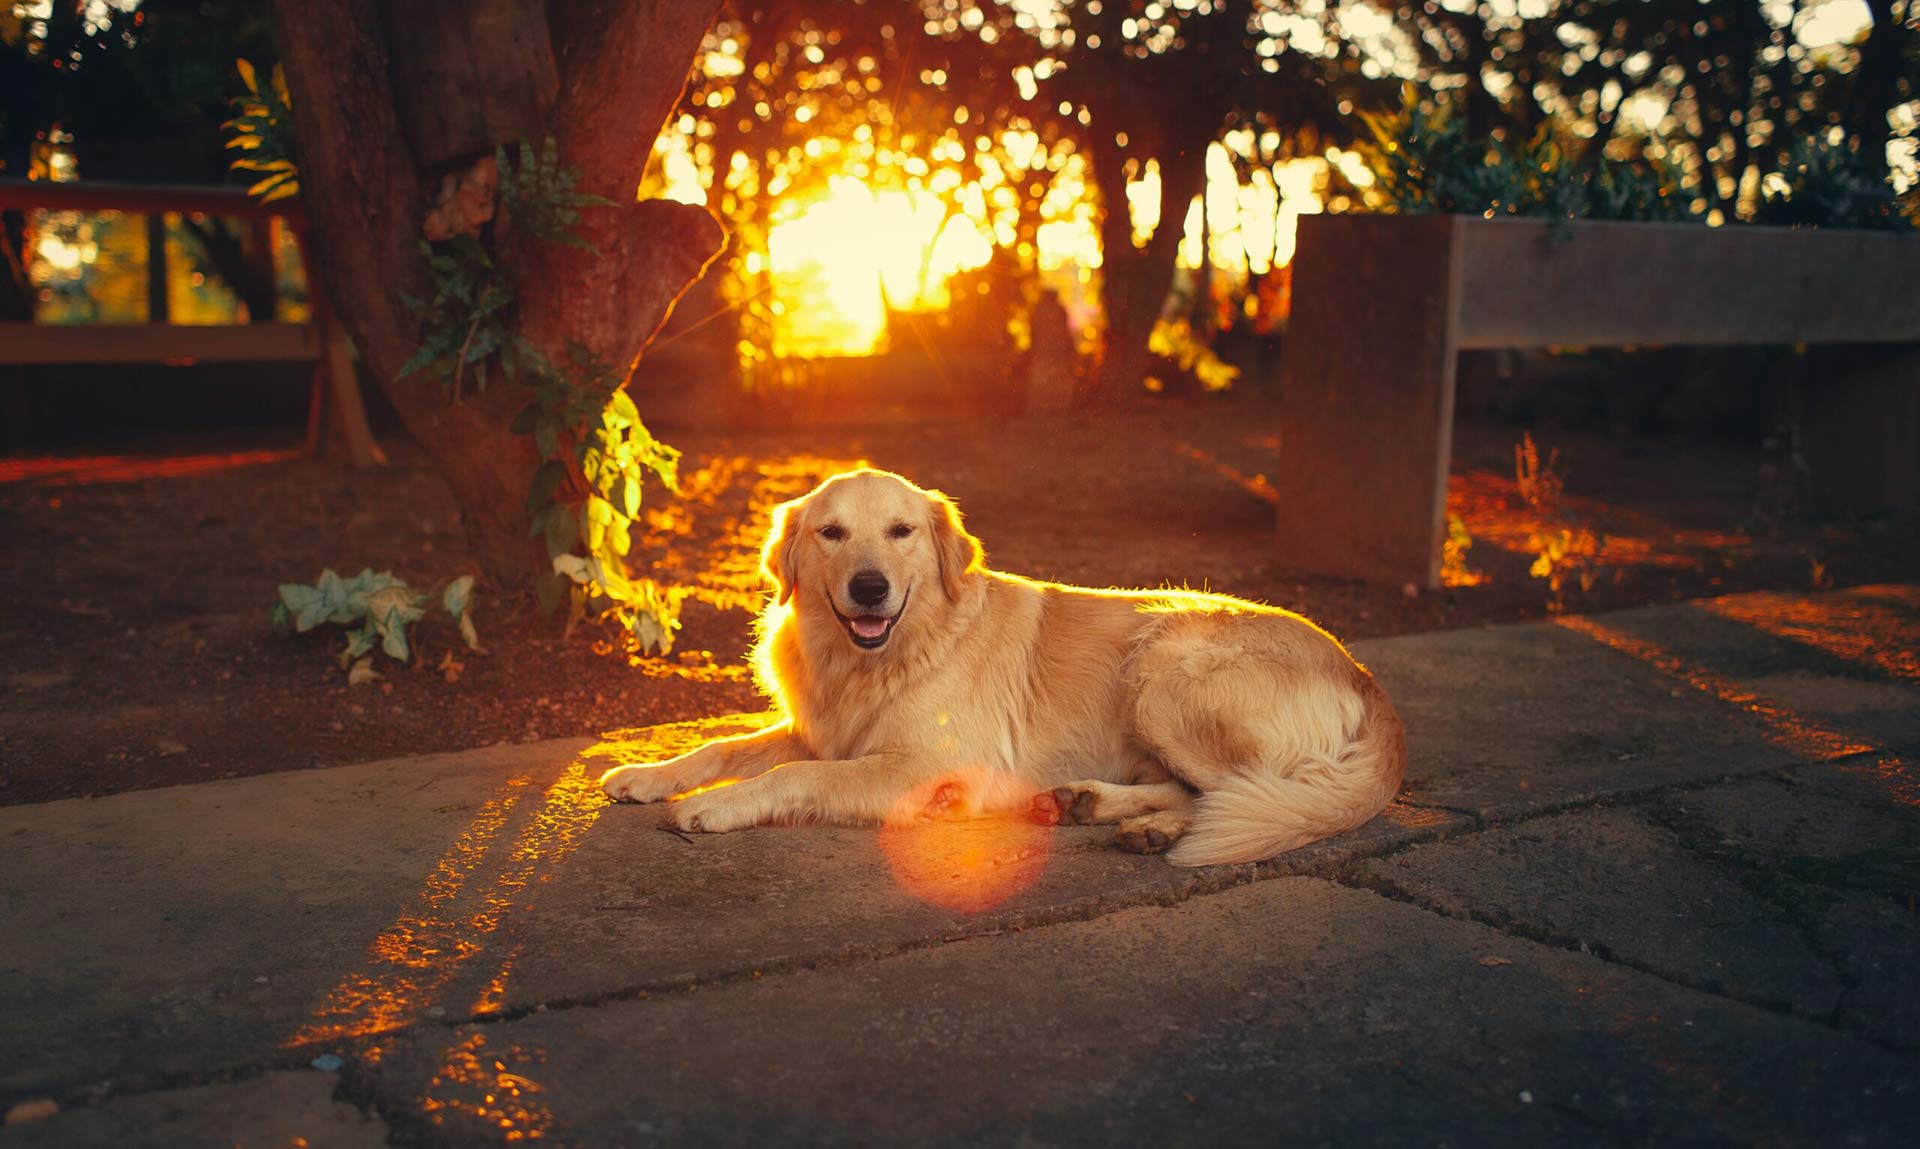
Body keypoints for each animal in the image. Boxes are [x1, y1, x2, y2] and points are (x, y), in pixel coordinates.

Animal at [602, 468, 1413, 864]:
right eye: (831, 533)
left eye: (901, 531)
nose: (870, 588)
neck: (890, 651)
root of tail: (1364, 674)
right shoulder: (822, 728)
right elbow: (726, 746)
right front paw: (649, 773)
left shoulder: (925, 764)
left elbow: (794, 775)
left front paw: (713, 807)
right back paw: (1094, 805)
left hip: (1159, 672)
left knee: (1245, 791)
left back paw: (1151, 827)